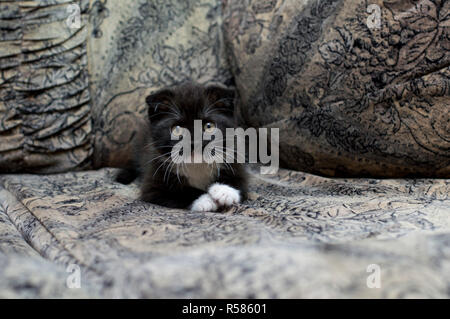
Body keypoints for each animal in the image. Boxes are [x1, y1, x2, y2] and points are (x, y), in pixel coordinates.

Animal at [116, 82, 248, 212]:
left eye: (209, 126)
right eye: (177, 129)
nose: (194, 142)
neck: (196, 165)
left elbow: (241, 182)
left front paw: (225, 191)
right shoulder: (152, 184)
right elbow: (180, 192)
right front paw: (205, 199)